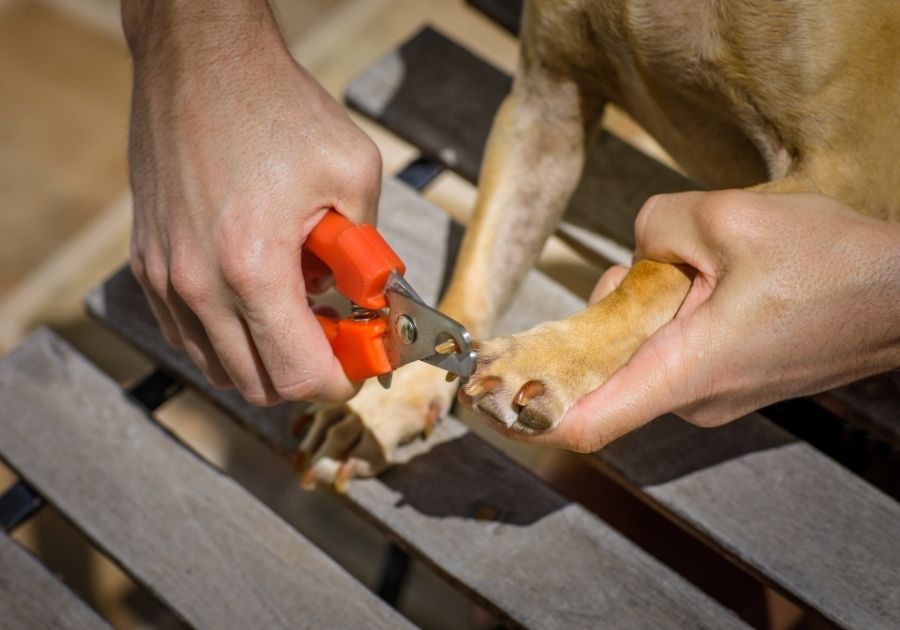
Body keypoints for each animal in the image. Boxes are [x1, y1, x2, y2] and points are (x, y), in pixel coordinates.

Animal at [298, 0, 900, 488]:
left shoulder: (849, 172)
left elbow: (660, 267)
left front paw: (551, 357)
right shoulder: (545, 104)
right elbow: (480, 267)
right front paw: (393, 402)